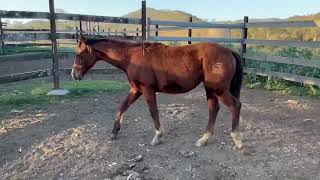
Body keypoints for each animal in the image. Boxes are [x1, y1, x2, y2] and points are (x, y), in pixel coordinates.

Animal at [71, 34, 244, 149]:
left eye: (79, 54)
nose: (74, 75)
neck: (132, 57)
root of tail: (229, 51)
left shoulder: (147, 89)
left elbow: (153, 111)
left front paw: (158, 136)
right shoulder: (136, 89)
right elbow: (123, 106)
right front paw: (114, 132)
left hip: (218, 89)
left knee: (235, 105)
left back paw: (237, 139)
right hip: (211, 89)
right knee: (214, 109)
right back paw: (204, 139)